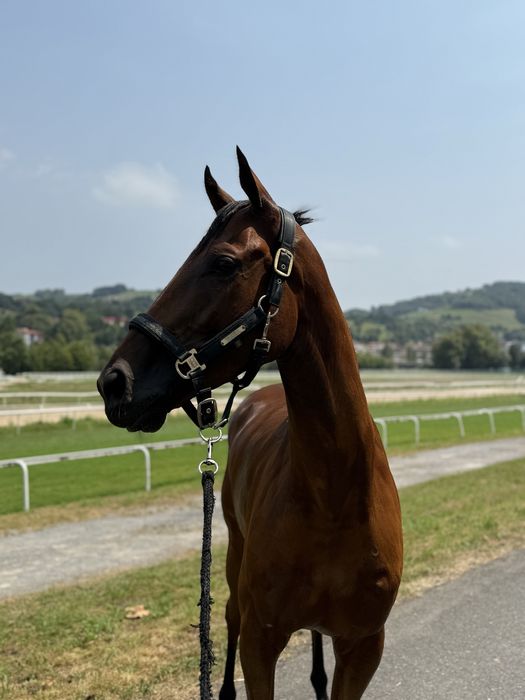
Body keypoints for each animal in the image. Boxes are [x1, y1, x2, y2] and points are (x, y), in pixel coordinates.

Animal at [97, 148, 403, 699]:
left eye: (223, 263)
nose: (114, 382)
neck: (335, 495)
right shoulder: (262, 641)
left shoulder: (363, 646)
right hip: (233, 561)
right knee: (229, 618)